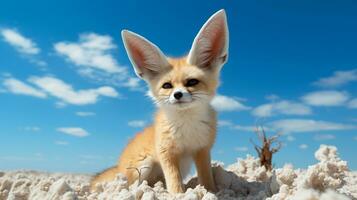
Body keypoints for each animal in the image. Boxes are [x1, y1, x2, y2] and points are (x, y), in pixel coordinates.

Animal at [91, 9, 228, 194]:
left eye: (192, 82)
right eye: (167, 86)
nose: (177, 95)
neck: (187, 126)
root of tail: (118, 165)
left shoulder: (202, 149)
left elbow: (206, 178)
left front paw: (211, 192)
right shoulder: (166, 152)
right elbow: (174, 181)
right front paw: (178, 195)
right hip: (144, 166)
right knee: (135, 184)